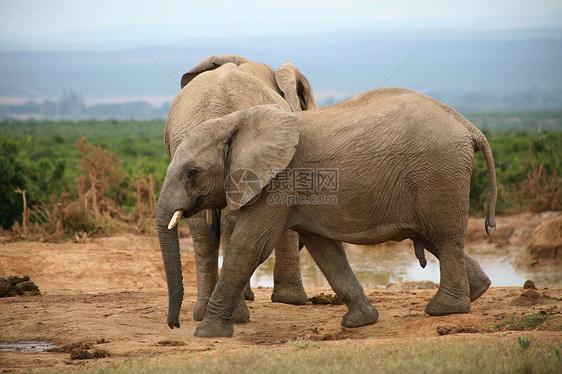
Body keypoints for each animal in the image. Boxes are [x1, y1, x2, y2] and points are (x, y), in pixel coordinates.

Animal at [158, 86, 494, 338]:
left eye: (192, 173)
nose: (173, 324)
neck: (234, 122)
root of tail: (470, 127)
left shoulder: (278, 181)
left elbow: (250, 245)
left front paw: (207, 332)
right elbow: (324, 249)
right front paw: (360, 321)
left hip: (439, 172)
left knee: (444, 237)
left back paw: (445, 310)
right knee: (435, 236)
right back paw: (476, 291)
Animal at [160, 54, 318, 326]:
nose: (175, 324)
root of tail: (215, 111)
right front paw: (292, 301)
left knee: (203, 229)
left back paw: (204, 313)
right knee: (225, 224)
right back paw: (236, 316)